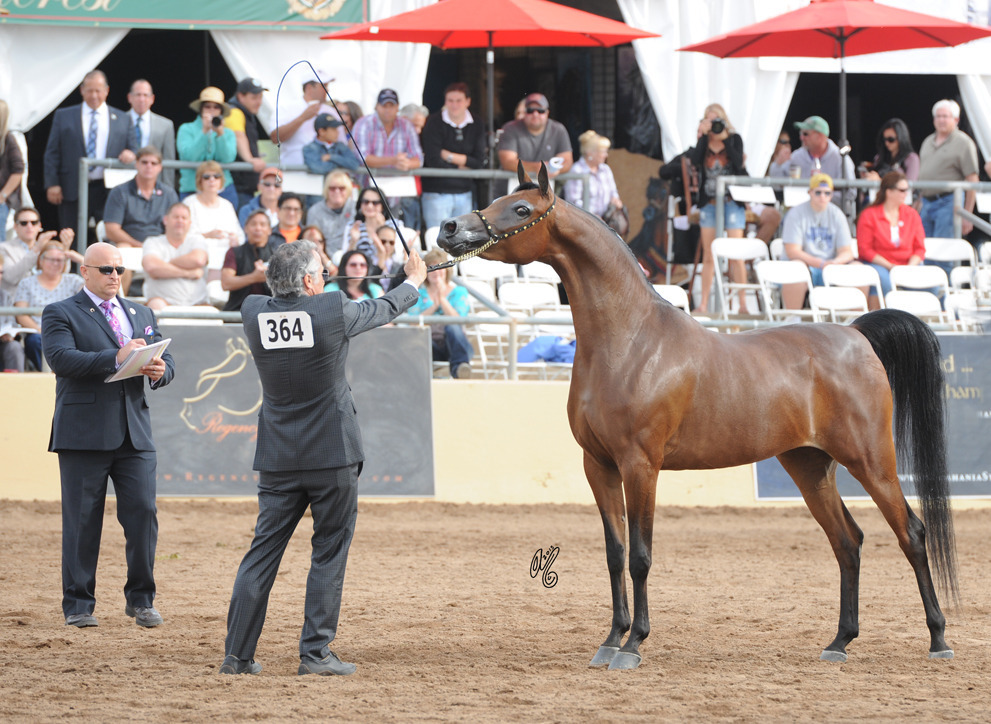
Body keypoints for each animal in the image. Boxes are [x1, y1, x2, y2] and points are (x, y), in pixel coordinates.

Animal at [438, 162, 957, 671]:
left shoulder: (640, 465)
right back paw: (839, 642)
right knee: (847, 542)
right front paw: (609, 640)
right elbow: (615, 554)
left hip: (871, 461)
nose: (449, 229)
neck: (630, 340)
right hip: (809, 466)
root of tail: (856, 334)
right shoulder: (598, 465)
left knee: (912, 534)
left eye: (521, 208)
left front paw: (633, 646)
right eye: (497, 199)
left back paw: (938, 639)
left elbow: (641, 556)